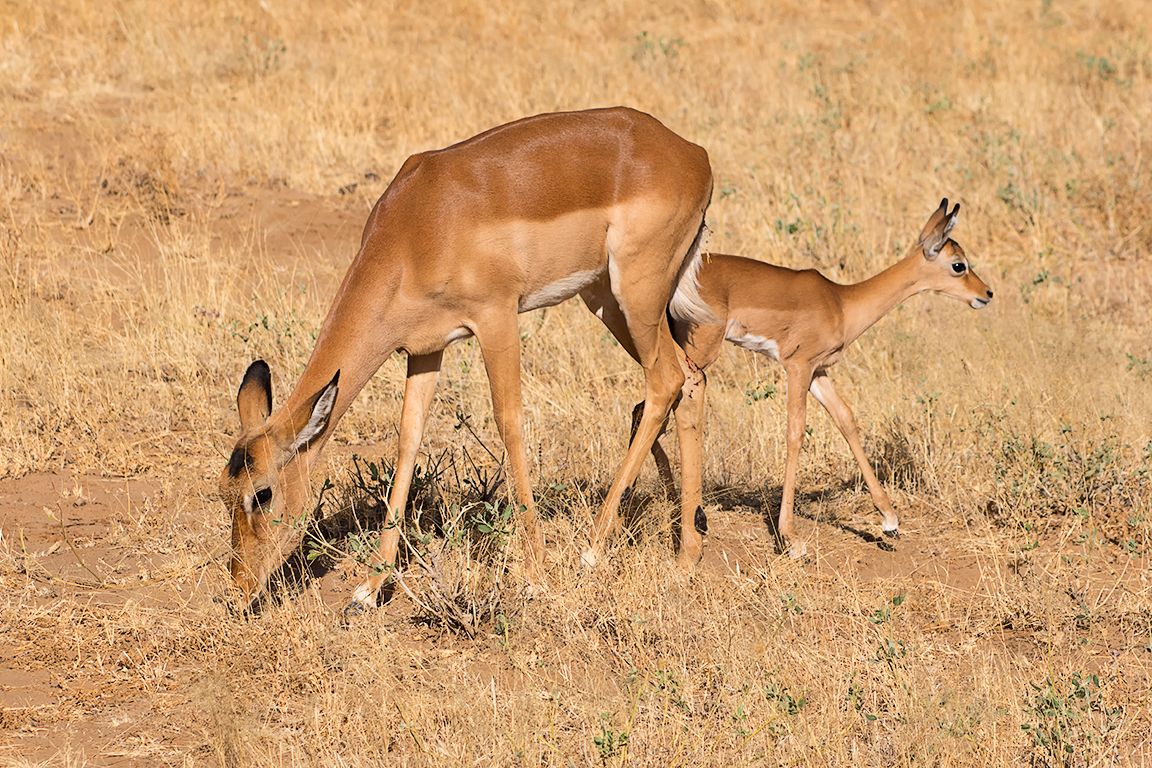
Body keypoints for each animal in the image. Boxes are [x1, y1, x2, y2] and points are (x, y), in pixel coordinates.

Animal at [219, 107, 713, 613]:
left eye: (262, 493)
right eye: (223, 492)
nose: (239, 589)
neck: (416, 227)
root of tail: (692, 154)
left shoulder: (496, 319)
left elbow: (509, 423)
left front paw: (535, 576)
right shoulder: (425, 349)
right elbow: (408, 440)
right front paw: (370, 589)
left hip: (635, 295)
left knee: (665, 381)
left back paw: (592, 550)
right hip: (607, 300)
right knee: (692, 377)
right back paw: (686, 555)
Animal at [638, 199, 993, 564]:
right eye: (959, 265)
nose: (987, 293)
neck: (842, 303)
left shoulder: (819, 373)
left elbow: (846, 420)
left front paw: (890, 521)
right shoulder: (798, 366)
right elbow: (795, 433)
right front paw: (791, 539)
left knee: (643, 408)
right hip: (701, 353)